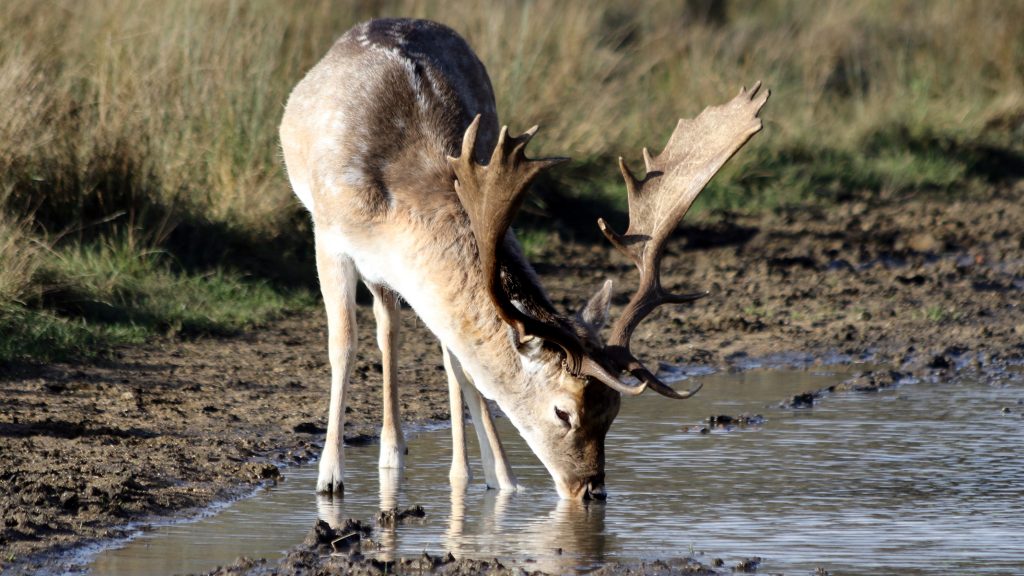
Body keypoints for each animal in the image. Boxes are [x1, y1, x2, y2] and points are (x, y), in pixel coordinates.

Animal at [280, 19, 770, 498]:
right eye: (563, 412)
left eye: (612, 412)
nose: (591, 490)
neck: (396, 201)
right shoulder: (328, 235)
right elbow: (342, 346)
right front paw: (329, 478)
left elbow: (461, 363)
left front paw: (501, 478)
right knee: (390, 330)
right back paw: (390, 454)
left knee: (423, 341)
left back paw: (424, 460)